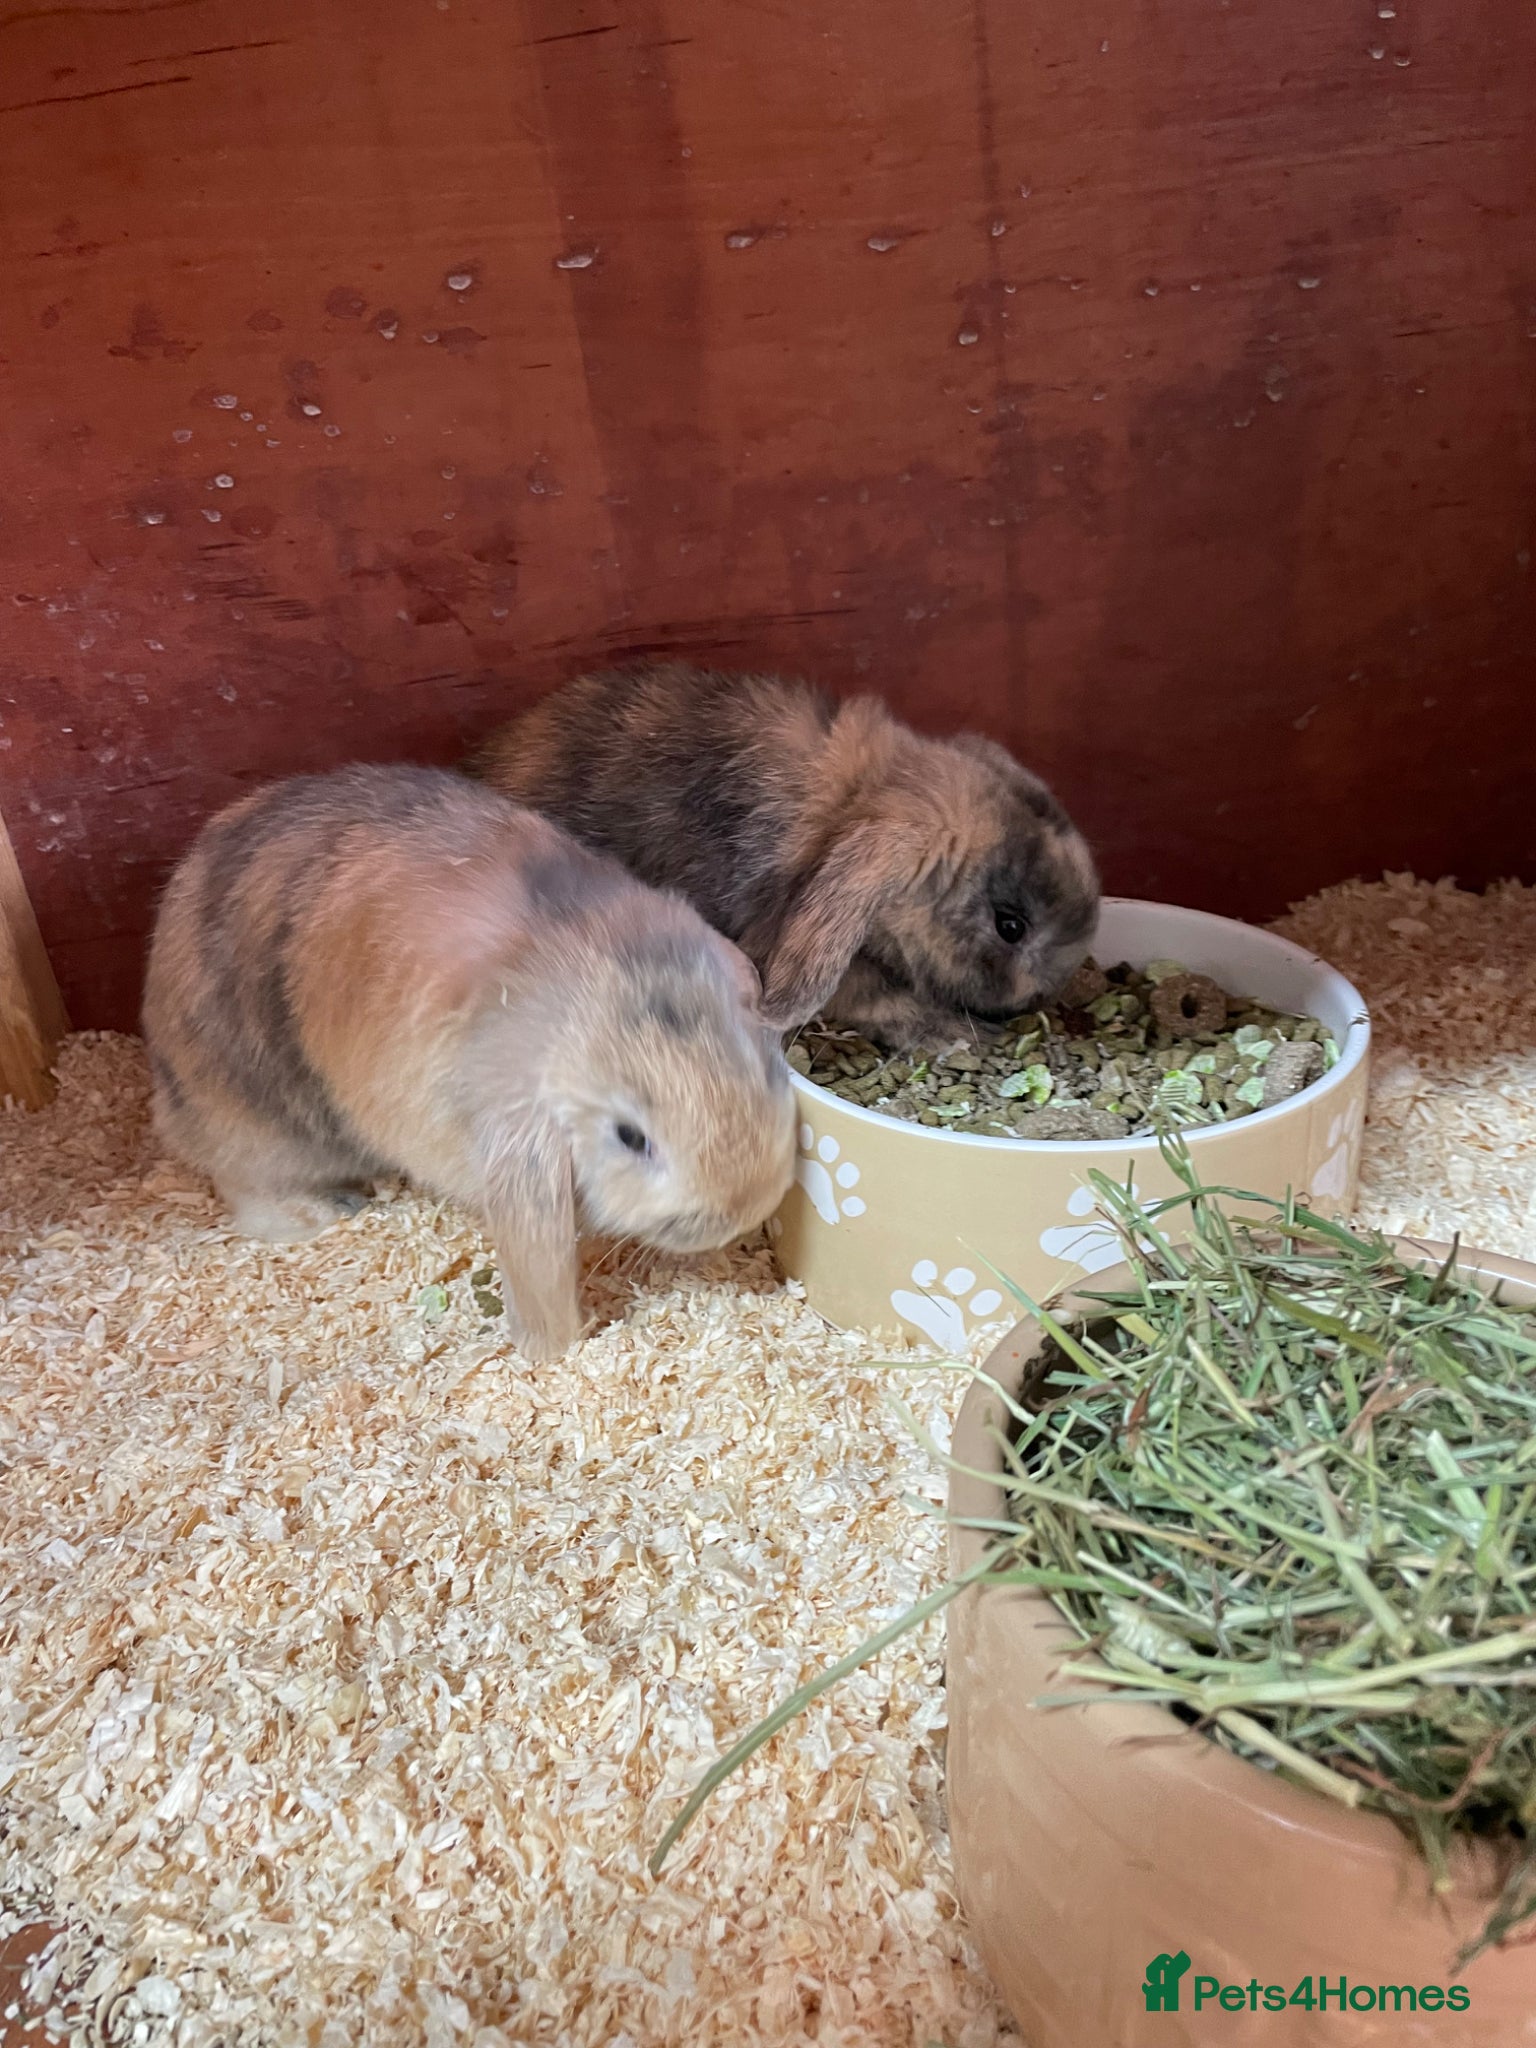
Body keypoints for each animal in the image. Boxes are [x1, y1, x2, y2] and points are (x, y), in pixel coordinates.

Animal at [141, 764, 796, 1362]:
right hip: (256, 1125)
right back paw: (324, 1211)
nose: (742, 1207)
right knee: (245, 1189)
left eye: (765, 1070)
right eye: (630, 1138)